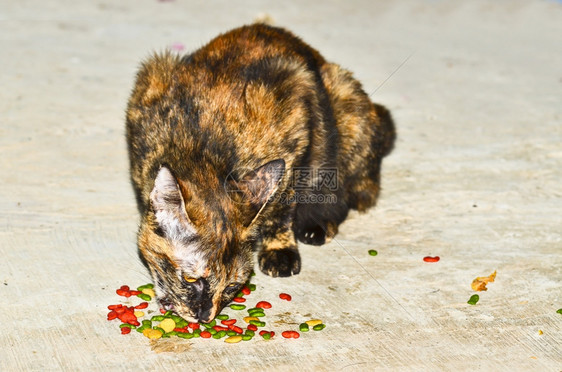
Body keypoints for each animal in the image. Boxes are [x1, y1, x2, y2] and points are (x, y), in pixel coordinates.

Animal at [123, 24, 394, 322]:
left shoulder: (295, 113)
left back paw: (317, 223)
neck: (198, 150)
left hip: (347, 107)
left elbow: (281, 205)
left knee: (347, 190)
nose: (206, 316)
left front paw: (279, 248)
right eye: (191, 280)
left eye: (231, 286)